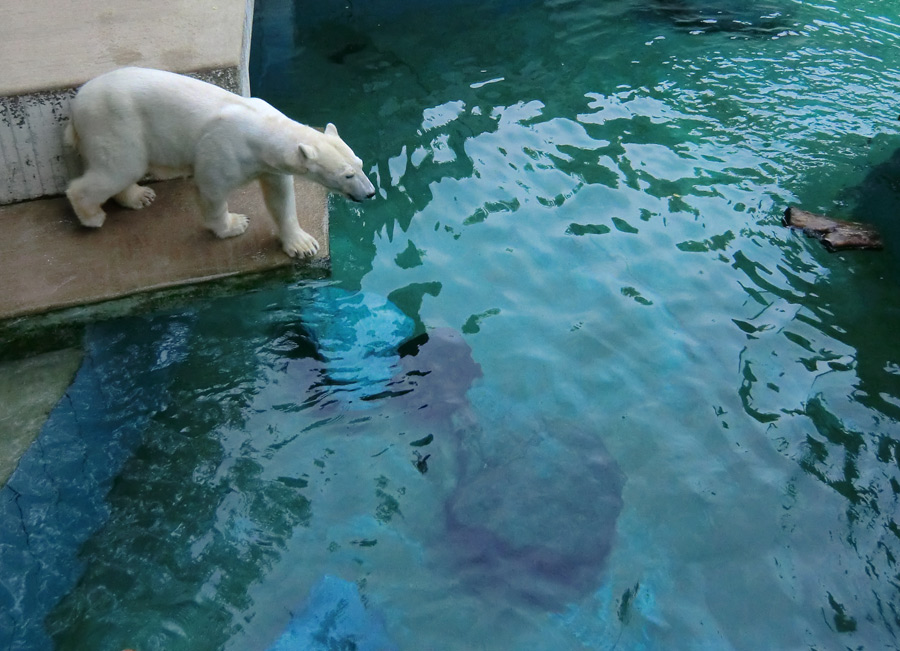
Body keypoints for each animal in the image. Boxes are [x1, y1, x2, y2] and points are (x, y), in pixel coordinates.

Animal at [63, 66, 372, 258]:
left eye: (360, 163)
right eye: (346, 175)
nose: (369, 193)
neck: (262, 131)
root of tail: (77, 104)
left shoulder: (270, 166)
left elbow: (280, 196)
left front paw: (302, 244)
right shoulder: (222, 151)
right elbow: (211, 190)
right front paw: (235, 224)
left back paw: (139, 196)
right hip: (115, 122)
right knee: (120, 166)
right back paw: (92, 216)